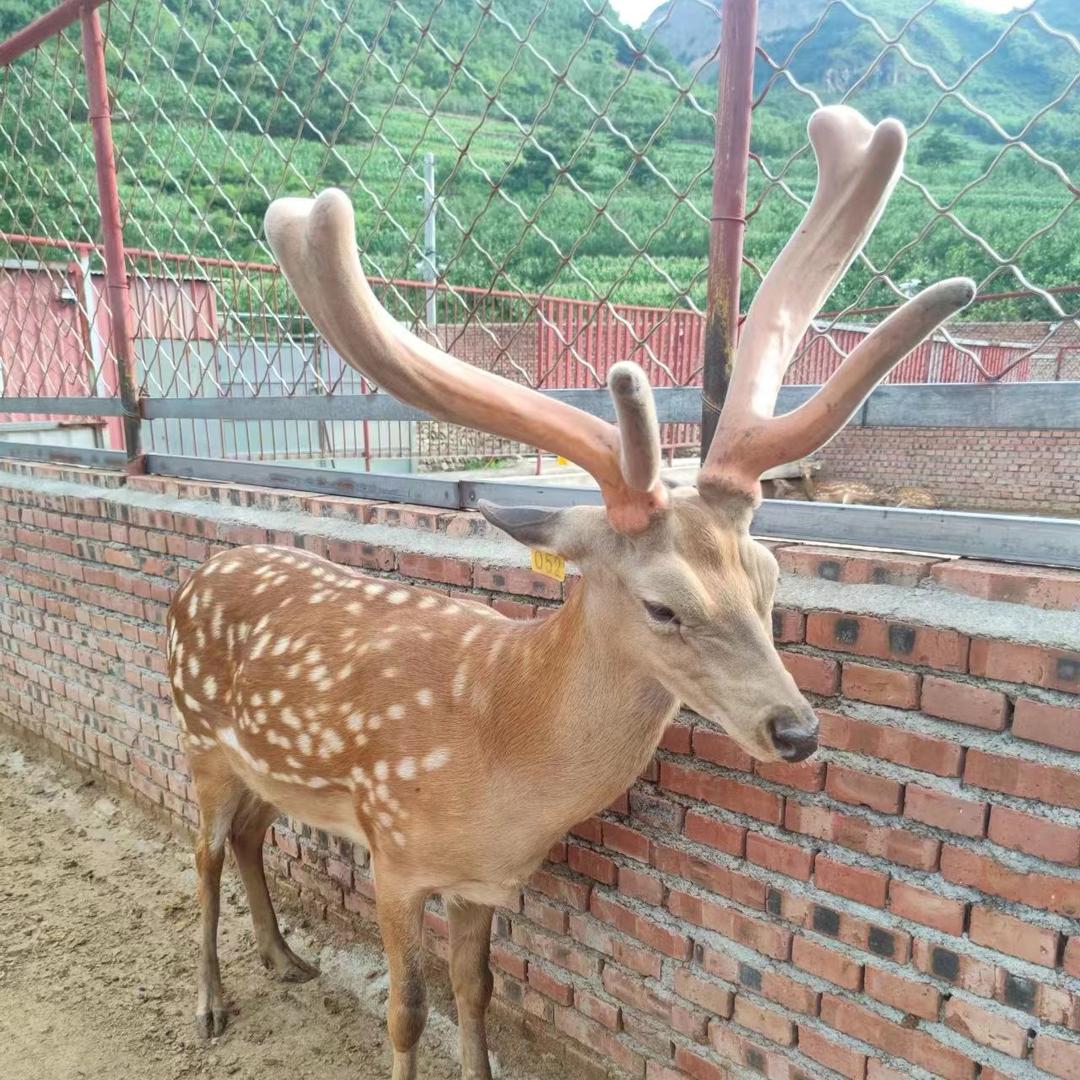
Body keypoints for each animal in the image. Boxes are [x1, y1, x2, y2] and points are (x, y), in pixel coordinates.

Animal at [165, 105, 973, 1080]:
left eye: (772, 577)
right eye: (663, 604)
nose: (798, 731)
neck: (498, 750)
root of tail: (193, 581)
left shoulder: (484, 879)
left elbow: (477, 992)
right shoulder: (394, 850)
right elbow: (408, 1011)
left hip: (254, 765)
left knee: (251, 835)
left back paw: (284, 958)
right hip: (199, 739)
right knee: (203, 850)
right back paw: (210, 1004)